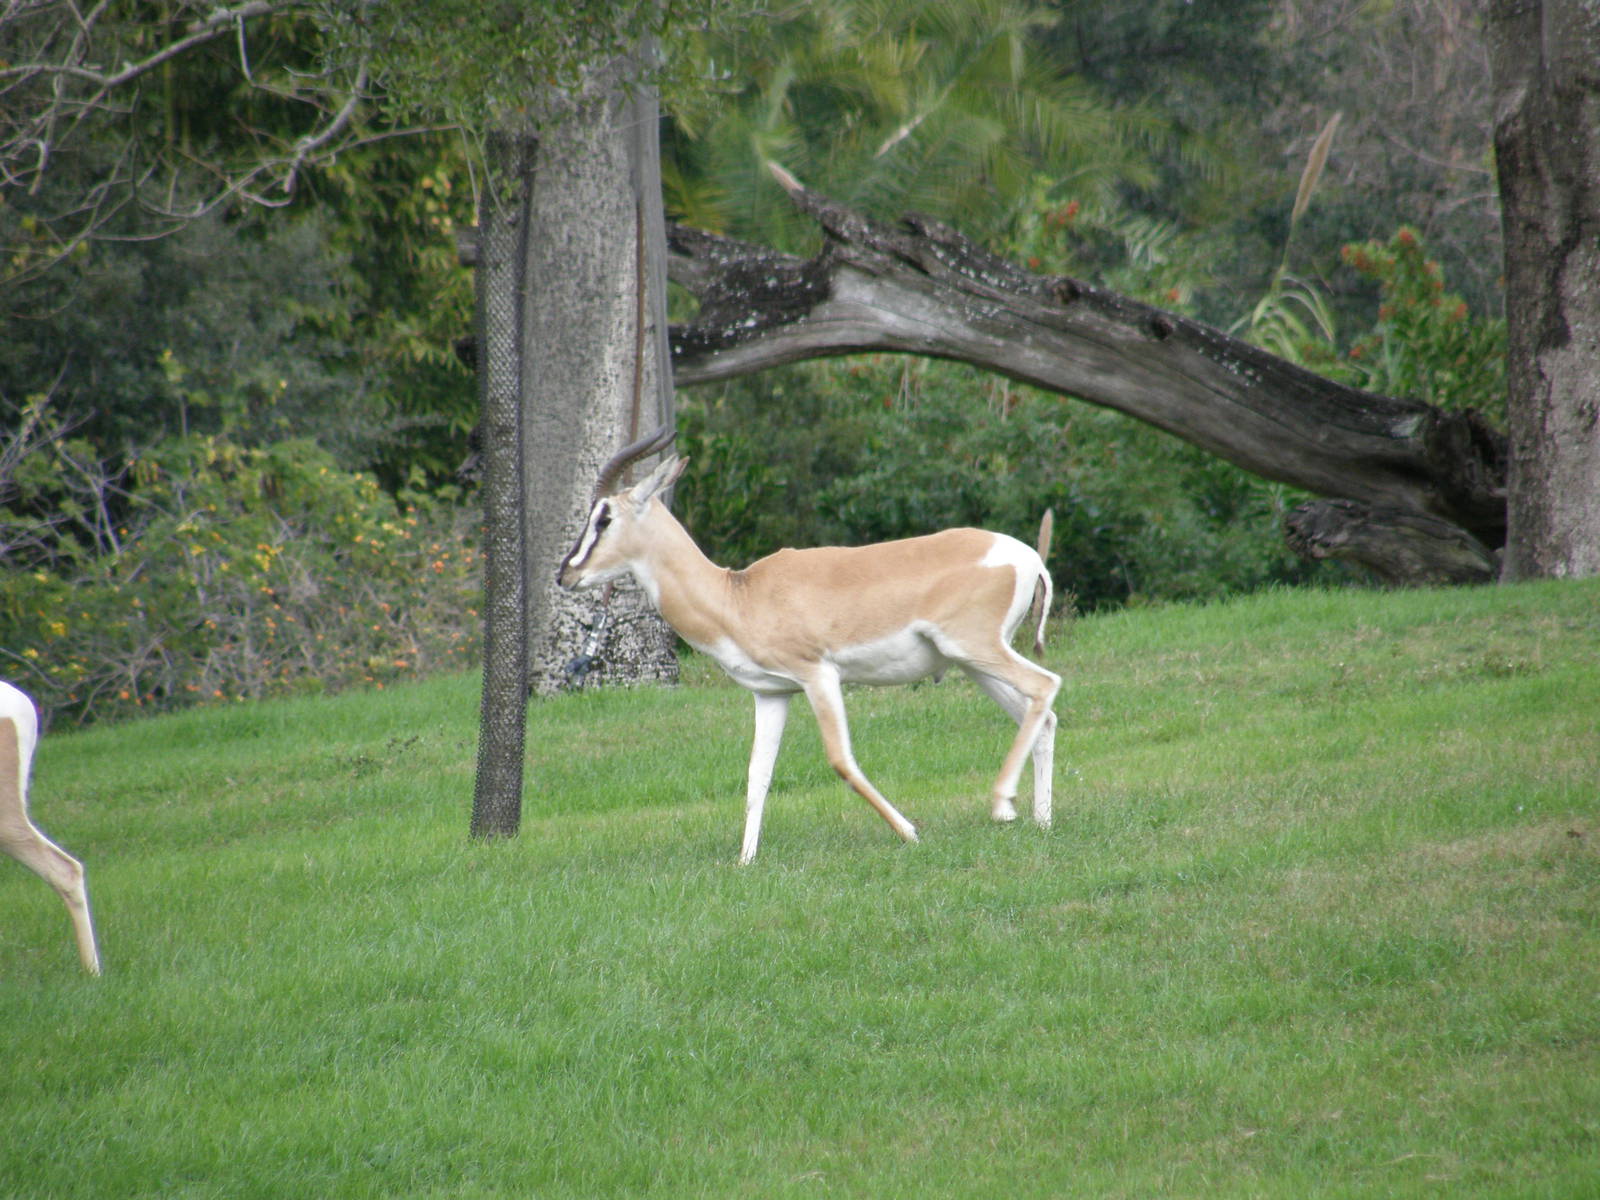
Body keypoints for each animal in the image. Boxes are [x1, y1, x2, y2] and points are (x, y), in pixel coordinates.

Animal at [558, 428, 1061, 864]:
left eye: (604, 516)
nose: (566, 574)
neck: (737, 596)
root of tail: (1029, 558)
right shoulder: (771, 694)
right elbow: (757, 775)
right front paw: (745, 861)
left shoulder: (818, 675)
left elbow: (840, 759)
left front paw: (910, 832)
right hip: (973, 663)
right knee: (1041, 715)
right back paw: (1041, 821)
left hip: (977, 649)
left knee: (1045, 685)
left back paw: (1002, 806)